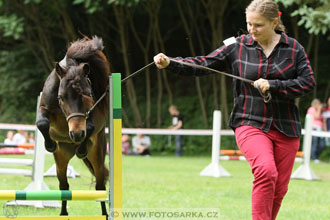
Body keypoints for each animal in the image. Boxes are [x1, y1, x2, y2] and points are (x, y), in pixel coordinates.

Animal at [36, 36, 110, 217]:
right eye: (61, 97)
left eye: (88, 95)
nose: (76, 135)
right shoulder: (43, 108)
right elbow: (42, 122)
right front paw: (50, 145)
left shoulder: (92, 115)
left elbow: (89, 127)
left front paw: (81, 149)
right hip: (61, 158)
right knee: (64, 186)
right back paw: (63, 214)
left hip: (97, 155)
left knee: (100, 186)